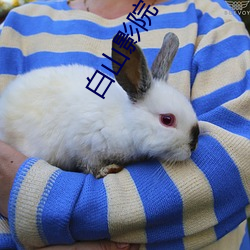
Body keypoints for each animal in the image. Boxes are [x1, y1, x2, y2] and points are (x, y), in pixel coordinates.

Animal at [0, 32, 199, 178]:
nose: (193, 145)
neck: (125, 120)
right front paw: (107, 169)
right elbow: (88, 164)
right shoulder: (83, 145)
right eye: (167, 120)